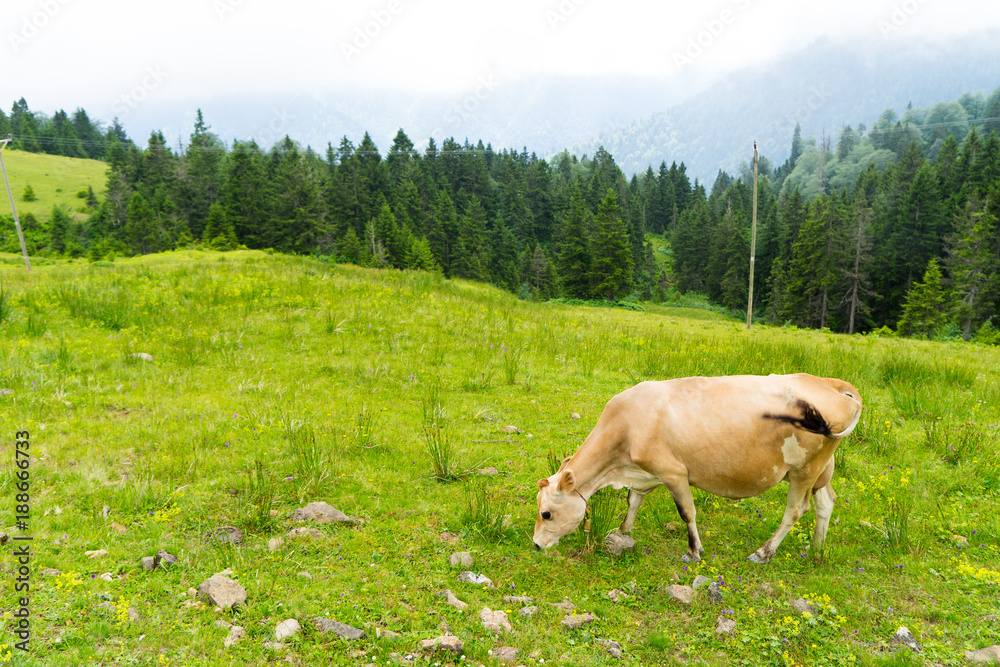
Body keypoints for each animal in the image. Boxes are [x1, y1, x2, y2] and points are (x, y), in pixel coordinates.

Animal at [533, 373, 862, 563]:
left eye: (546, 513)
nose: (536, 545)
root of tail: (837, 385)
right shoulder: (646, 473)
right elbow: (633, 500)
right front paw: (623, 531)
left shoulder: (674, 472)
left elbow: (687, 513)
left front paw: (693, 551)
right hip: (822, 468)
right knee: (825, 502)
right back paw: (817, 549)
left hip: (804, 469)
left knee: (795, 510)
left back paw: (764, 552)